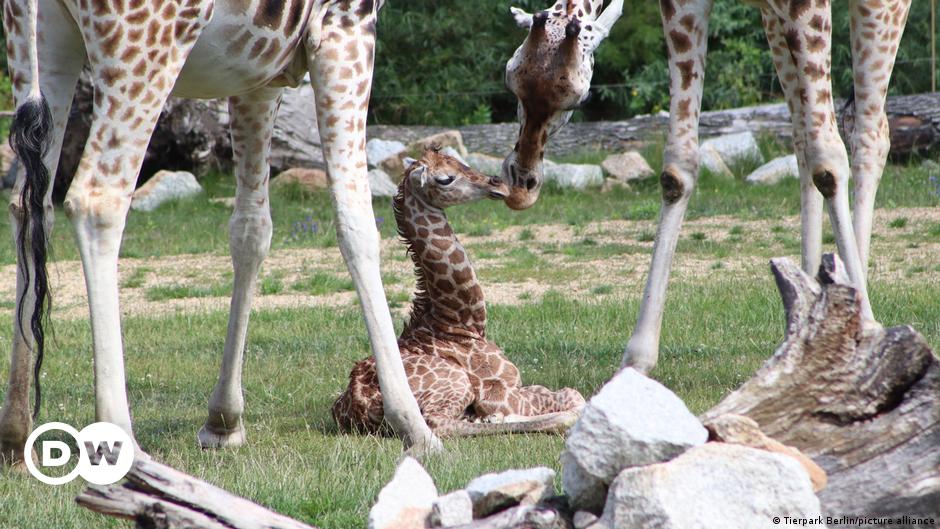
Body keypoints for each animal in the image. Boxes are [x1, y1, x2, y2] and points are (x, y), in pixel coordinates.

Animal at [0, 0, 440, 466]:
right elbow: (355, 221)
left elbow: (251, 229)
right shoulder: (346, 25)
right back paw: (122, 444)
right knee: (97, 199)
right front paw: (414, 426)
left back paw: (15, 433)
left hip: (40, 42)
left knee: (30, 205)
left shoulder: (259, 72)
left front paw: (223, 421)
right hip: (144, 46)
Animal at [330, 150, 584, 438]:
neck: (460, 323)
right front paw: (499, 417)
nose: (498, 184)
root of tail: (358, 407)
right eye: (445, 179)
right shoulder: (499, 393)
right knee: (438, 423)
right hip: (456, 382)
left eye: (460, 161)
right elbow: (573, 395)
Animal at [506, 0, 912, 372]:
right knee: (802, 136)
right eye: (511, 79)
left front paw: (865, 328)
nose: (522, 183)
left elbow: (828, 159)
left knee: (868, 132)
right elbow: (677, 168)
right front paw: (637, 360)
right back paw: (804, 315)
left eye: (580, 97)